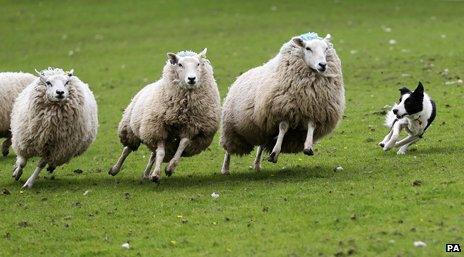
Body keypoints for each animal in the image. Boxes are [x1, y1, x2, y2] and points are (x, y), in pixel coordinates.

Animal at [110, 48, 223, 180]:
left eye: (198, 64)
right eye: (180, 64)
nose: (191, 79)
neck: (184, 106)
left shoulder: (190, 128)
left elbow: (182, 145)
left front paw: (169, 168)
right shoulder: (158, 129)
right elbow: (161, 153)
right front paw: (156, 174)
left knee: (152, 155)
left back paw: (146, 174)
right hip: (132, 130)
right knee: (127, 150)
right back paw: (114, 169)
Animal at [220, 31, 344, 172]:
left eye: (326, 48)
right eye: (308, 48)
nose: (322, 65)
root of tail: (239, 77)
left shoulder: (313, 108)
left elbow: (311, 125)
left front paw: (308, 147)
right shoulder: (282, 109)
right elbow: (283, 128)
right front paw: (275, 153)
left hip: (263, 130)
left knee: (261, 146)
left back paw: (257, 165)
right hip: (231, 127)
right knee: (228, 150)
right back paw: (225, 168)